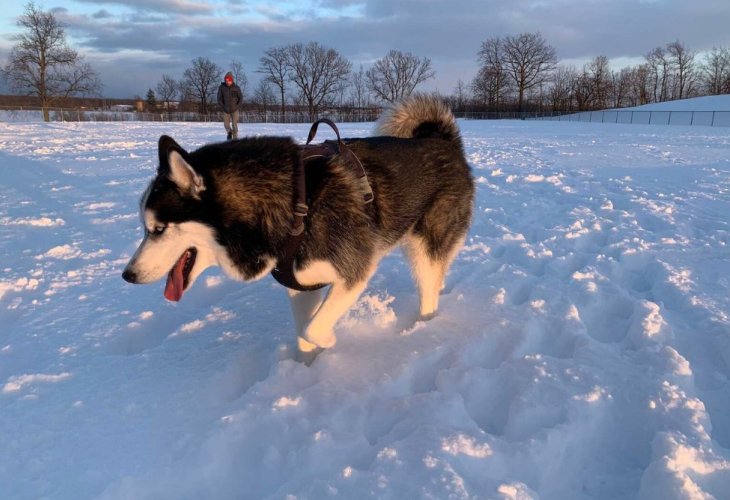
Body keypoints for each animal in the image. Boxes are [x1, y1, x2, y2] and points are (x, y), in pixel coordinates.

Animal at [121, 95, 472, 358]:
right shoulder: (301, 283)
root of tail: (443, 142)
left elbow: (312, 328)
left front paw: (329, 341)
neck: (295, 204)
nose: (127, 275)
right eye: (145, 227)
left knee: (429, 289)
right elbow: (304, 333)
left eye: (158, 229)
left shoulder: (354, 272)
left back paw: (424, 330)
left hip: (424, 246)